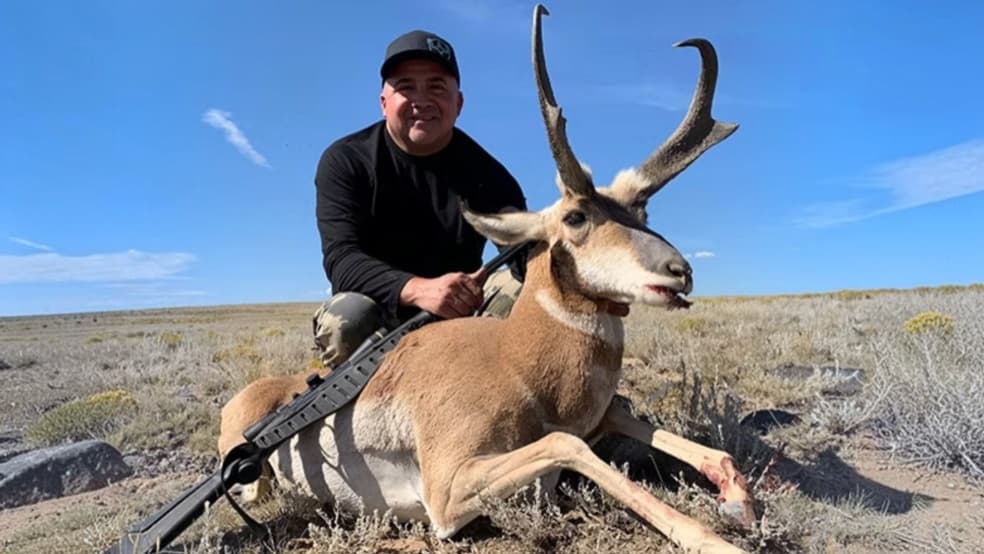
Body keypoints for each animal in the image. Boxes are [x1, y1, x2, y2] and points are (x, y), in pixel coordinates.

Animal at [219, 5, 751, 553]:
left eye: (641, 212)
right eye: (576, 217)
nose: (680, 271)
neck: (514, 359)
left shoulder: (599, 416)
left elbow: (675, 439)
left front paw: (738, 498)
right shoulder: (449, 491)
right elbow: (568, 442)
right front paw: (715, 539)